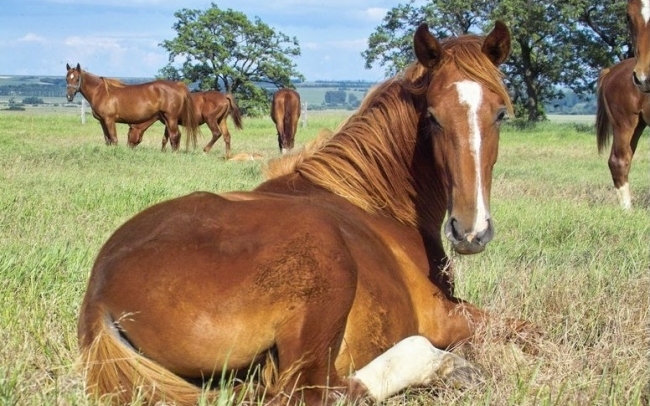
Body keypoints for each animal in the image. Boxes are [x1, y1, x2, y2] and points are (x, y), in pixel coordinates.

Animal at [65, 63, 200, 151]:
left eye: (77, 78)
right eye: (66, 78)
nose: (69, 96)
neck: (101, 92)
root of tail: (178, 85)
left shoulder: (110, 120)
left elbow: (114, 139)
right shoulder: (102, 121)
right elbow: (107, 140)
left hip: (171, 118)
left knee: (175, 135)